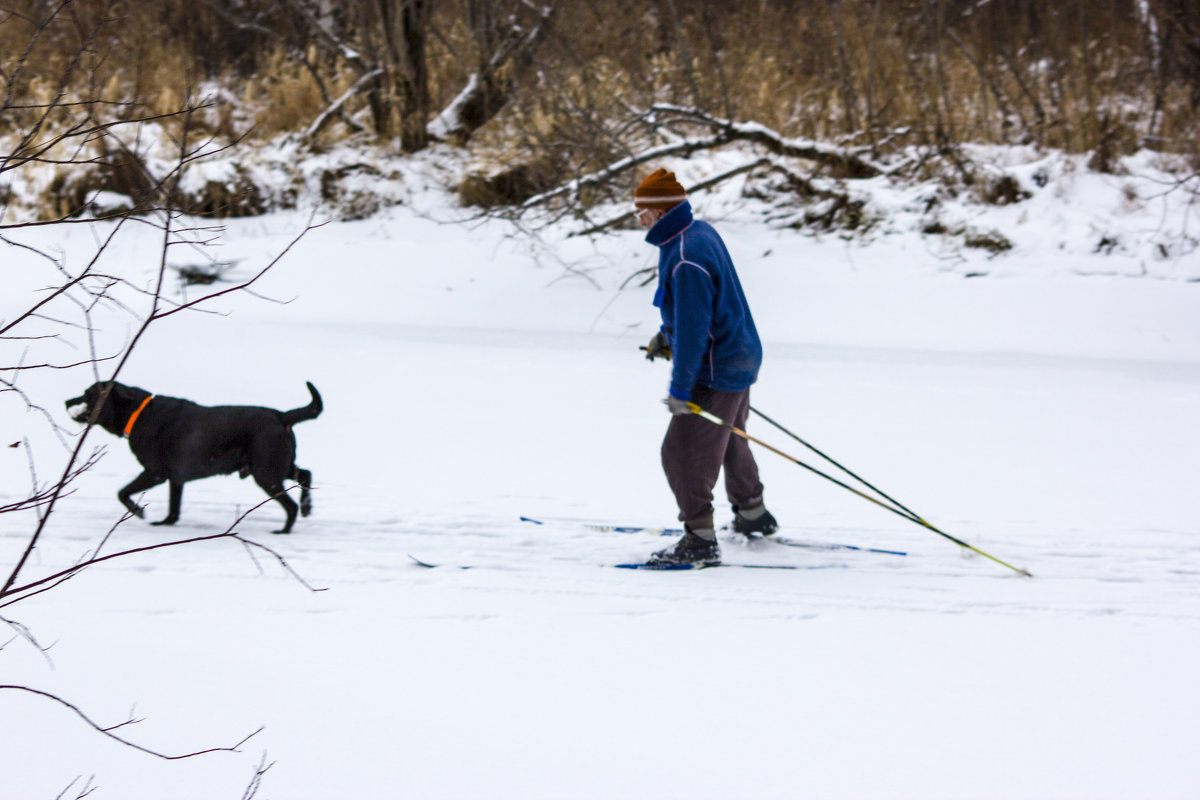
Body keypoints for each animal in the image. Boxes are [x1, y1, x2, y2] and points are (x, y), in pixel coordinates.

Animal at [68, 381, 324, 532]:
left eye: (87, 394)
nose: (66, 401)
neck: (138, 413)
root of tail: (281, 415)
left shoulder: (155, 473)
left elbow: (122, 492)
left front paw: (139, 511)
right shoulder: (176, 479)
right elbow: (174, 507)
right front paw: (166, 523)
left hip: (266, 473)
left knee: (290, 504)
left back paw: (285, 529)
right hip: (278, 465)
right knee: (306, 475)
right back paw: (307, 507)